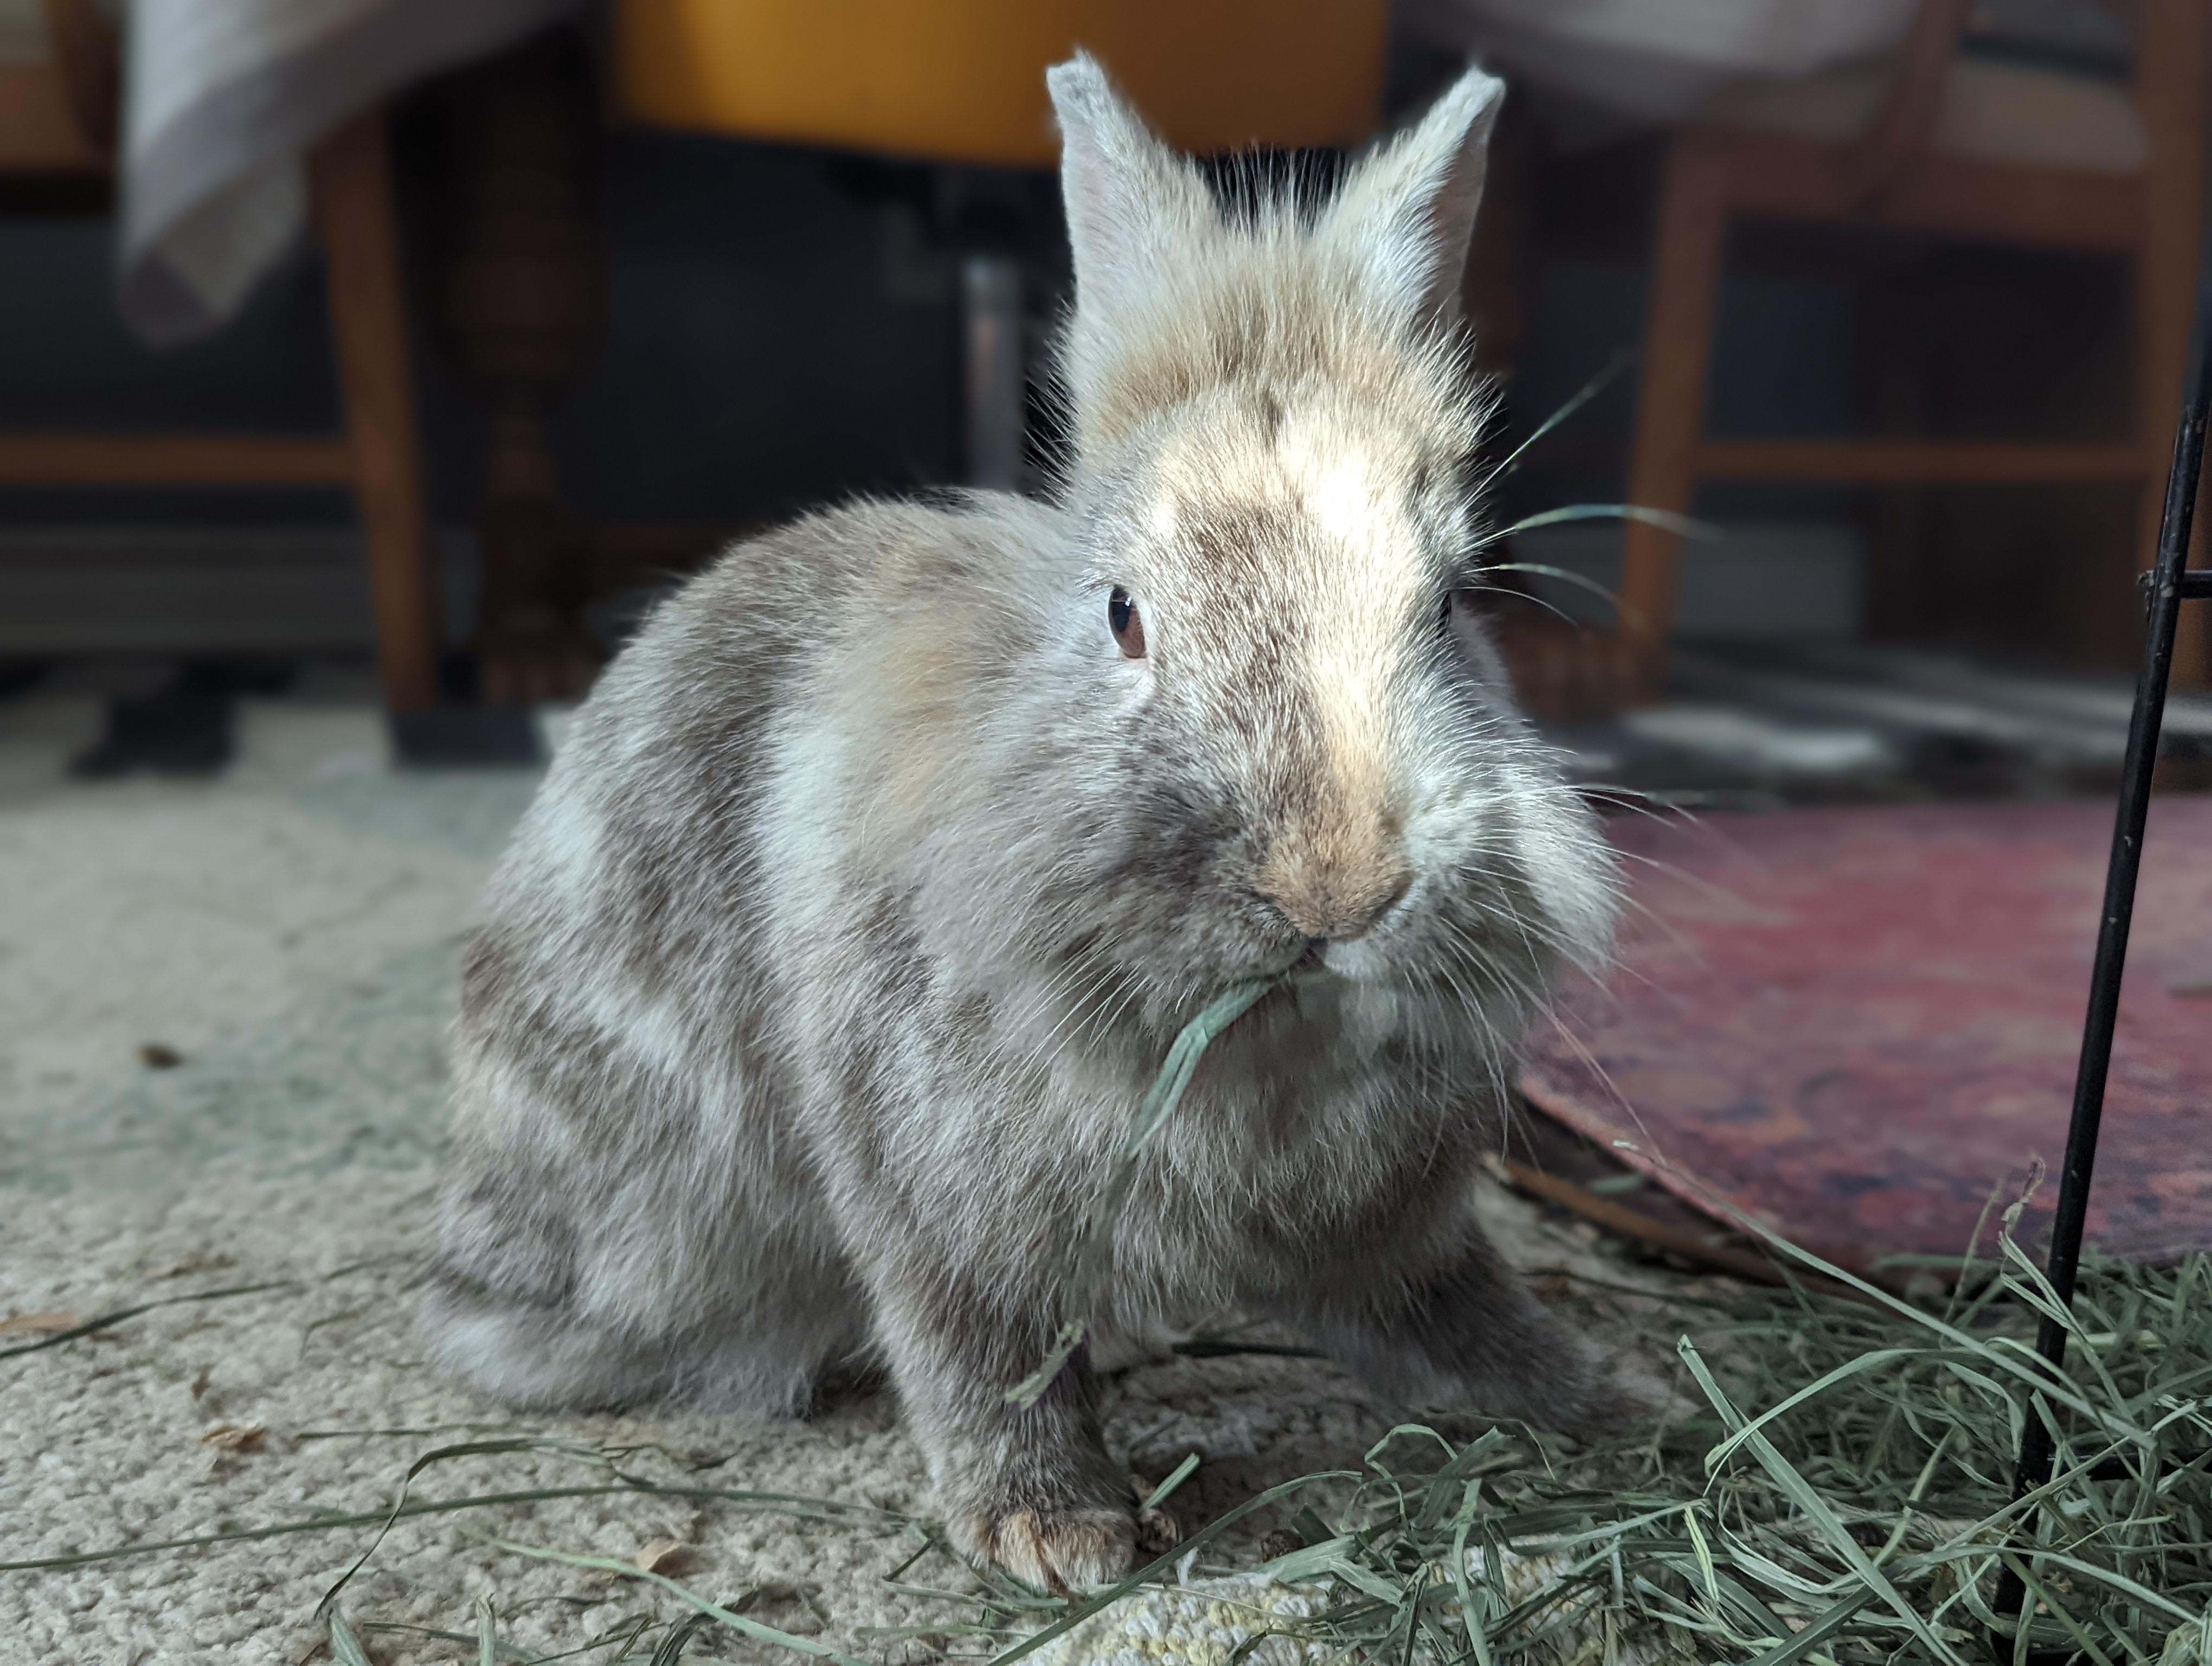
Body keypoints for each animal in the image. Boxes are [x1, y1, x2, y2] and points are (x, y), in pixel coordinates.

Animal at [416, 52, 1622, 1594]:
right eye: (1122, 616)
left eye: (1455, 607)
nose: (1335, 889)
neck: (1259, 1036)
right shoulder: (935, 1199)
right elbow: (977, 1353)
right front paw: (1058, 1538)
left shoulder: (1390, 1233)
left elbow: (1458, 1317)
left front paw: (1618, 1407)